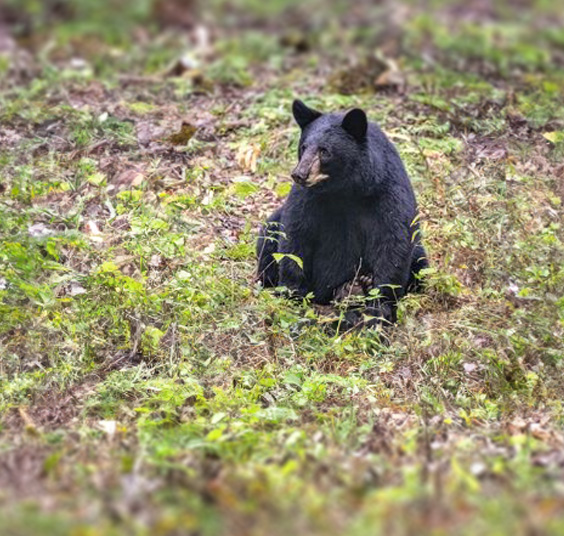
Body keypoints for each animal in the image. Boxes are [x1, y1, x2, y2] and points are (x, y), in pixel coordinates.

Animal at [256, 100, 428, 326]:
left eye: (324, 151)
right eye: (303, 147)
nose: (299, 174)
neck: (345, 190)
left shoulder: (388, 192)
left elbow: (392, 242)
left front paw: (380, 307)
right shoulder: (307, 197)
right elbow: (295, 235)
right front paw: (293, 292)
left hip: (419, 254)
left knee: (420, 264)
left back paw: (356, 287)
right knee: (269, 237)